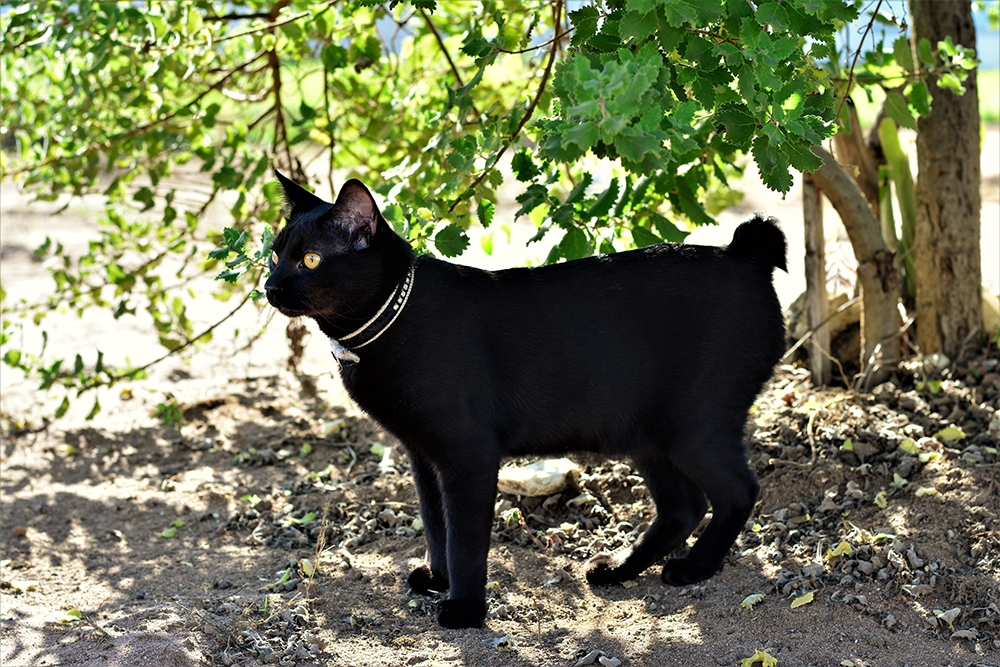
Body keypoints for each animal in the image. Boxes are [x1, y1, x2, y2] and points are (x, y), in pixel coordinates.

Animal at [264, 170, 788, 628]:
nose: (269, 285)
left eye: (310, 260)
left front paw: (465, 608)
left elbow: (465, 537)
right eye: (274, 254)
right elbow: (436, 525)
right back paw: (620, 569)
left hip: (693, 428)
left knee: (739, 492)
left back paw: (695, 567)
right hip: (645, 436)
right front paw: (439, 580)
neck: (388, 321)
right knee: (684, 507)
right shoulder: (423, 456)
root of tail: (742, 255)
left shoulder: (468, 454)